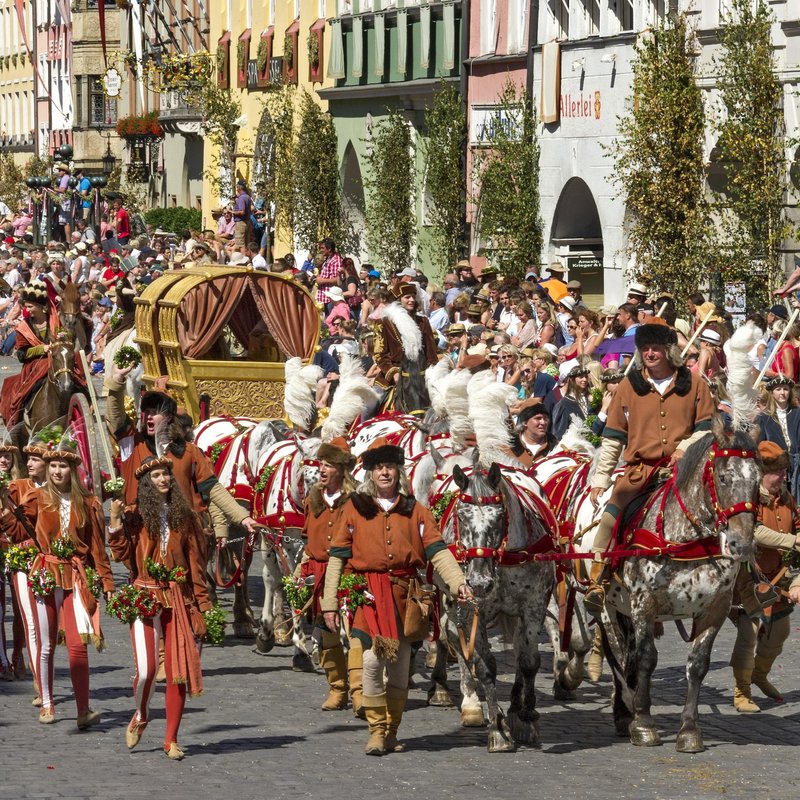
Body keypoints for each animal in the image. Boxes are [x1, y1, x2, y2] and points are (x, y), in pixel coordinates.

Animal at [428, 462, 560, 752]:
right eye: (461, 516)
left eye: (499, 518)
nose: (479, 582)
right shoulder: (470, 609)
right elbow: (485, 666)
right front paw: (498, 729)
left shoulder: (533, 606)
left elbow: (528, 661)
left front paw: (525, 716)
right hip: (450, 602)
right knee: (450, 638)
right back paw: (467, 702)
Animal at [580, 422, 760, 752]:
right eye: (723, 477)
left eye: (757, 481)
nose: (741, 545)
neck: (687, 539)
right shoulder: (644, 604)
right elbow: (646, 659)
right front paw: (643, 723)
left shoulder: (715, 609)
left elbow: (698, 665)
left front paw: (689, 730)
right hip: (606, 607)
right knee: (616, 654)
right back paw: (625, 710)